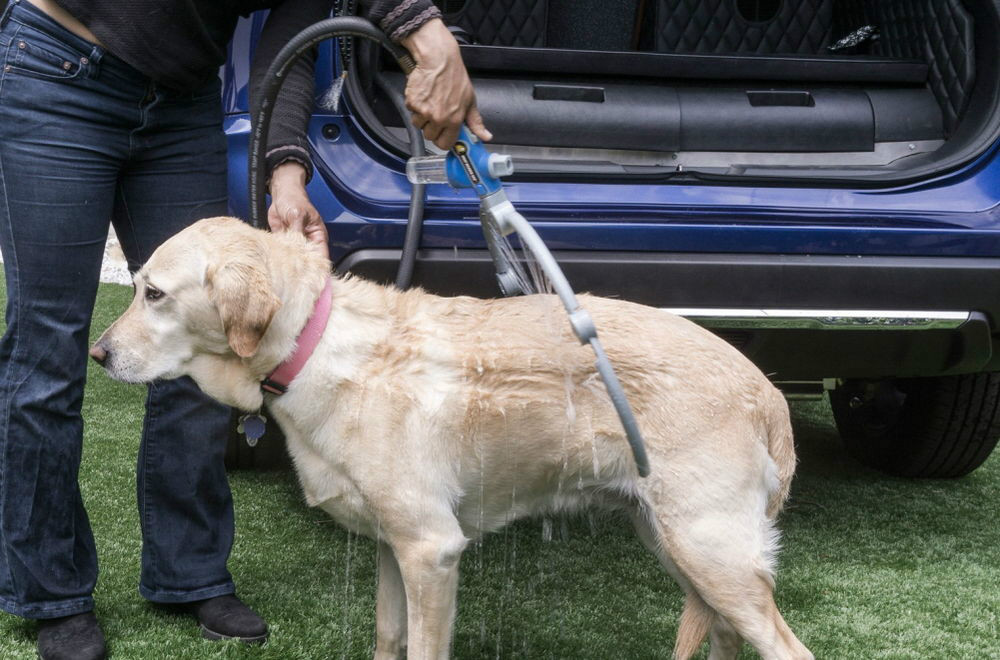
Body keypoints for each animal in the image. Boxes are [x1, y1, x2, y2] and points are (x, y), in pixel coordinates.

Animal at [92, 217, 812, 660]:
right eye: (137, 286)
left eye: (154, 294)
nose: (97, 354)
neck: (314, 343)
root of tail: (768, 393)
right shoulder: (392, 549)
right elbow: (389, 640)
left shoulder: (432, 551)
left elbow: (421, 648)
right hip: (676, 546)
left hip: (709, 552)